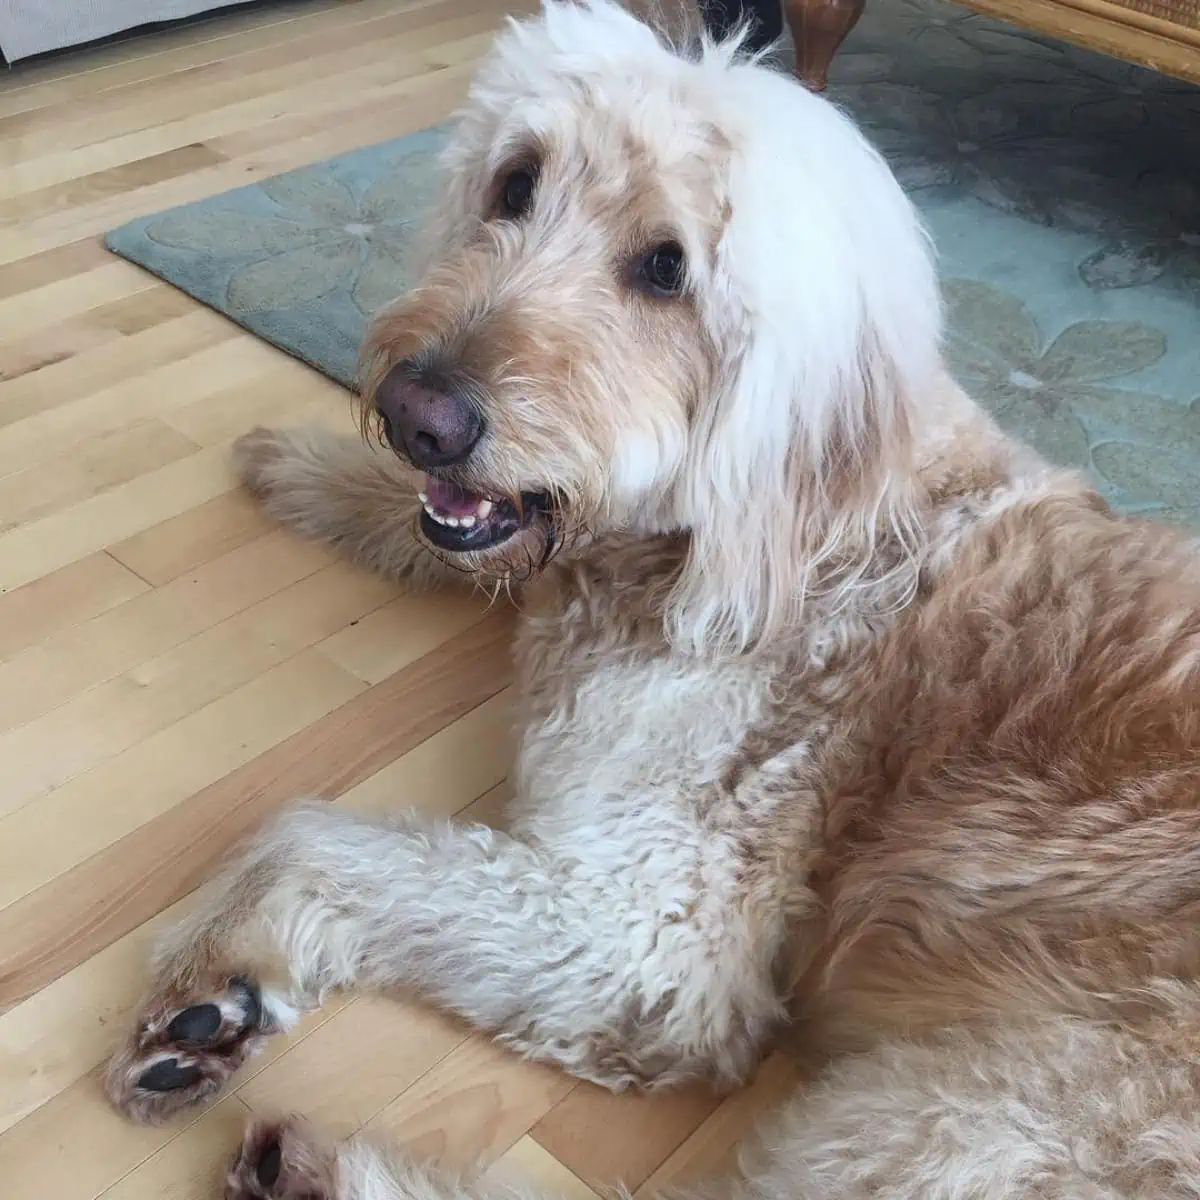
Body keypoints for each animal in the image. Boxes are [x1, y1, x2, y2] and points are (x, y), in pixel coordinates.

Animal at [100, 4, 1200, 1195]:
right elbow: (448, 532)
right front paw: (306, 467)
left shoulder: (643, 930)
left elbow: (304, 832)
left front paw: (219, 968)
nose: (414, 414)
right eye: (516, 184)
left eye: (666, 268)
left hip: (955, 1130)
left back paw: (317, 1172)